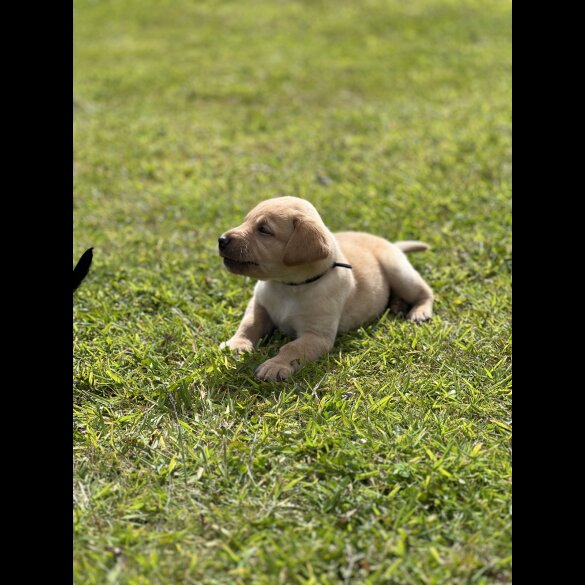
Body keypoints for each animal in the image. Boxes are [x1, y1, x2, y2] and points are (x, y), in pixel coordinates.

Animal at [217, 195, 432, 378]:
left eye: (264, 230)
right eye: (246, 221)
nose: (221, 240)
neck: (288, 286)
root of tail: (391, 244)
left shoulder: (317, 335)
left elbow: (293, 347)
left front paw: (275, 365)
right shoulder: (258, 303)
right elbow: (249, 324)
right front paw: (236, 344)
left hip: (398, 271)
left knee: (426, 292)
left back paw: (420, 311)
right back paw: (397, 305)